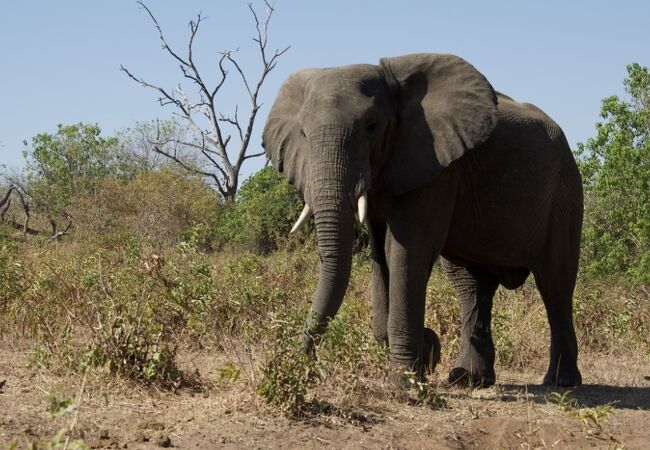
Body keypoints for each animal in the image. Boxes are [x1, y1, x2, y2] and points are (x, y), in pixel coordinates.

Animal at [260, 53, 580, 386]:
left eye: (372, 126)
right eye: (303, 133)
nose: (303, 365)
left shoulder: (436, 167)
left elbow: (405, 252)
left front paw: (405, 381)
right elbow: (381, 256)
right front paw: (424, 354)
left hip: (564, 190)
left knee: (555, 283)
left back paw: (560, 382)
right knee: (471, 287)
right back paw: (467, 379)